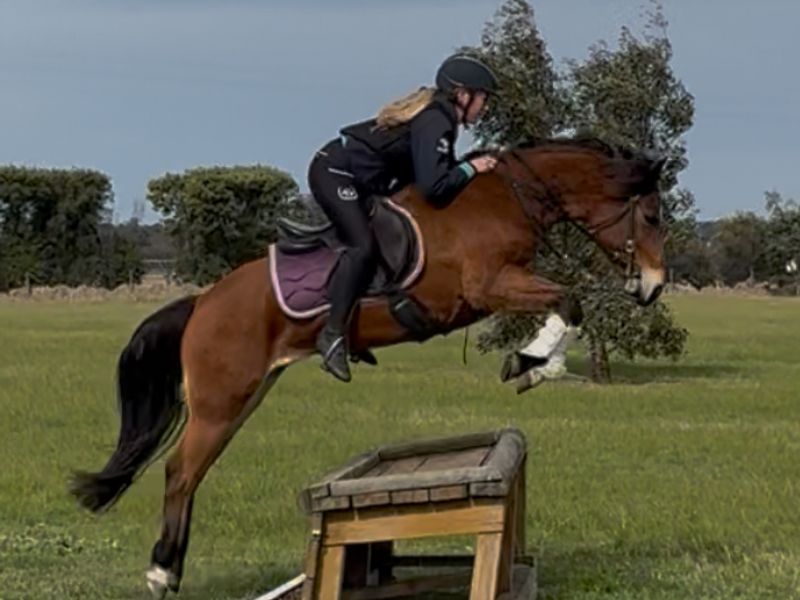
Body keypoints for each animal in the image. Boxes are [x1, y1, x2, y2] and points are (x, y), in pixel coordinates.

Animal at [70, 137, 667, 597]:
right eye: (653, 215)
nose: (654, 286)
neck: (504, 197)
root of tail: (202, 302)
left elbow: (570, 306)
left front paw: (534, 365)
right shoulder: (489, 286)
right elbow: (570, 300)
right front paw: (530, 362)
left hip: (243, 397)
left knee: (191, 473)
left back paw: (171, 566)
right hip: (222, 402)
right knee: (179, 471)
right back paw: (160, 572)